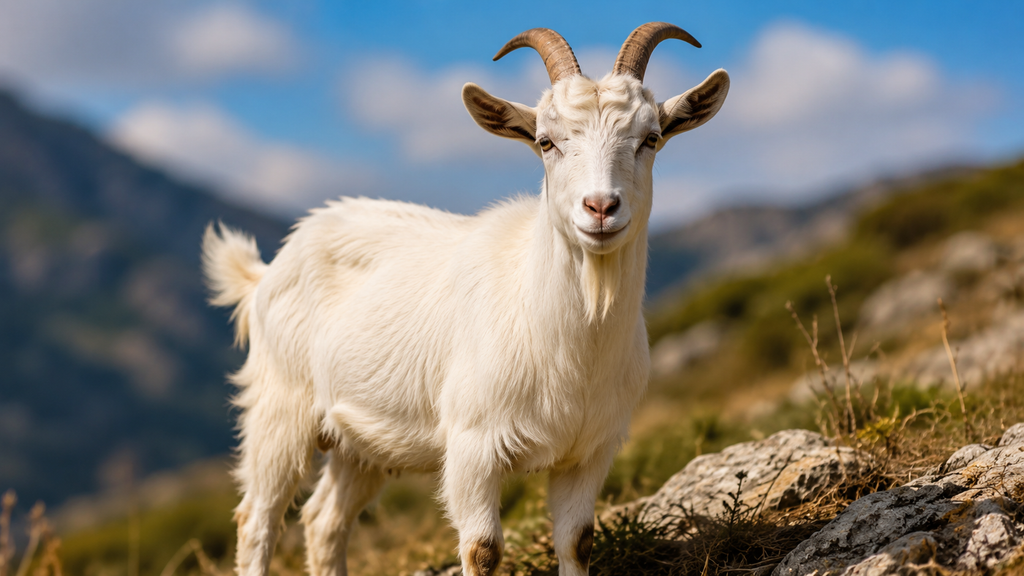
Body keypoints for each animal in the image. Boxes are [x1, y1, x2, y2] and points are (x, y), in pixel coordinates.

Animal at [202, 22, 729, 576]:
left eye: (651, 138)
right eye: (546, 142)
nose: (601, 207)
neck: (570, 346)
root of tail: (266, 272)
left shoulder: (590, 450)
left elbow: (577, 540)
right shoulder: (472, 447)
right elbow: (482, 549)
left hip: (362, 439)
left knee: (323, 522)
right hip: (280, 408)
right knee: (258, 518)